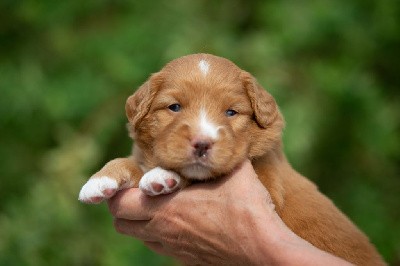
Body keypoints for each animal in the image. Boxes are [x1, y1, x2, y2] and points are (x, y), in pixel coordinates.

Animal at [79, 53, 384, 264]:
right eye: (174, 107)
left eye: (231, 112)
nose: (202, 143)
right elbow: (130, 162)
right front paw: (99, 180)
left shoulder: (268, 182)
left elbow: (194, 175)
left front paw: (163, 177)